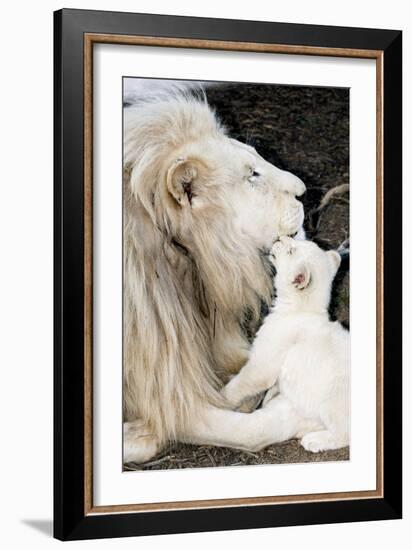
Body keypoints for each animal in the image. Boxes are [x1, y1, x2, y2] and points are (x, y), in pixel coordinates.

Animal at [224, 239, 350, 454]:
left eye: (291, 251)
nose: (280, 239)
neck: (301, 309)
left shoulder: (262, 366)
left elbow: (239, 385)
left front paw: (220, 397)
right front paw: (268, 398)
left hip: (333, 399)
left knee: (345, 432)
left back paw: (314, 441)